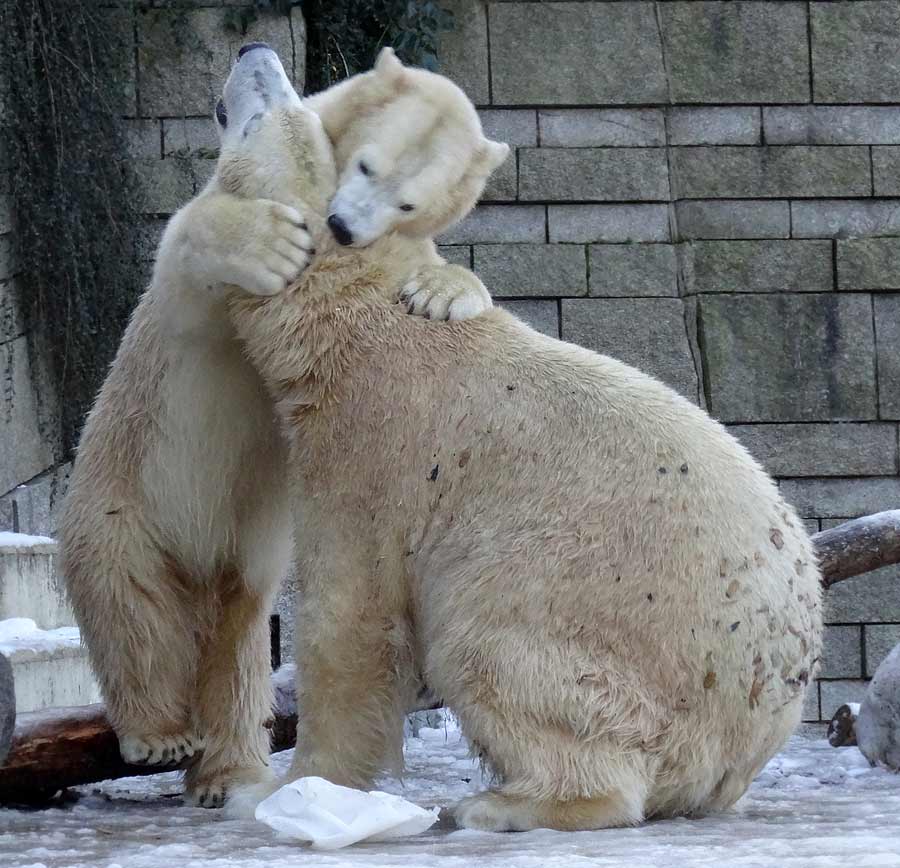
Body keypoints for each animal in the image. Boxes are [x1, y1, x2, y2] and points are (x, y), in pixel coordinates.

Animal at [60, 47, 510, 808]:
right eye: (257, 105)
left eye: (289, 90)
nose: (256, 51)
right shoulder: (185, 299)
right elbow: (189, 240)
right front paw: (269, 245)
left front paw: (445, 292)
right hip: (122, 503)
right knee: (129, 607)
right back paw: (160, 734)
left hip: (247, 554)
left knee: (237, 647)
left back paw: (230, 772)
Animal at [216, 49, 824, 836]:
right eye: (304, 101)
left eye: (272, 109)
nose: (253, 54)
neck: (346, 326)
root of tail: (742, 744)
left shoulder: (370, 446)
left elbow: (350, 614)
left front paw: (278, 790)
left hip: (590, 614)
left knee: (488, 645)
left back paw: (500, 801)